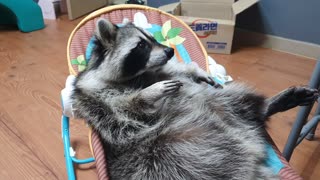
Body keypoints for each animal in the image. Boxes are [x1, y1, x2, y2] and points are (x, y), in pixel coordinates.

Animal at [71, 18, 318, 180]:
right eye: (141, 45)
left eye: (153, 39)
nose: (170, 51)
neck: (138, 75)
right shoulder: (97, 102)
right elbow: (125, 112)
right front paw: (147, 94)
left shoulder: (165, 71)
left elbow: (180, 71)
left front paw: (195, 70)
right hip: (160, 159)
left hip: (221, 101)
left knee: (237, 101)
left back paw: (266, 106)